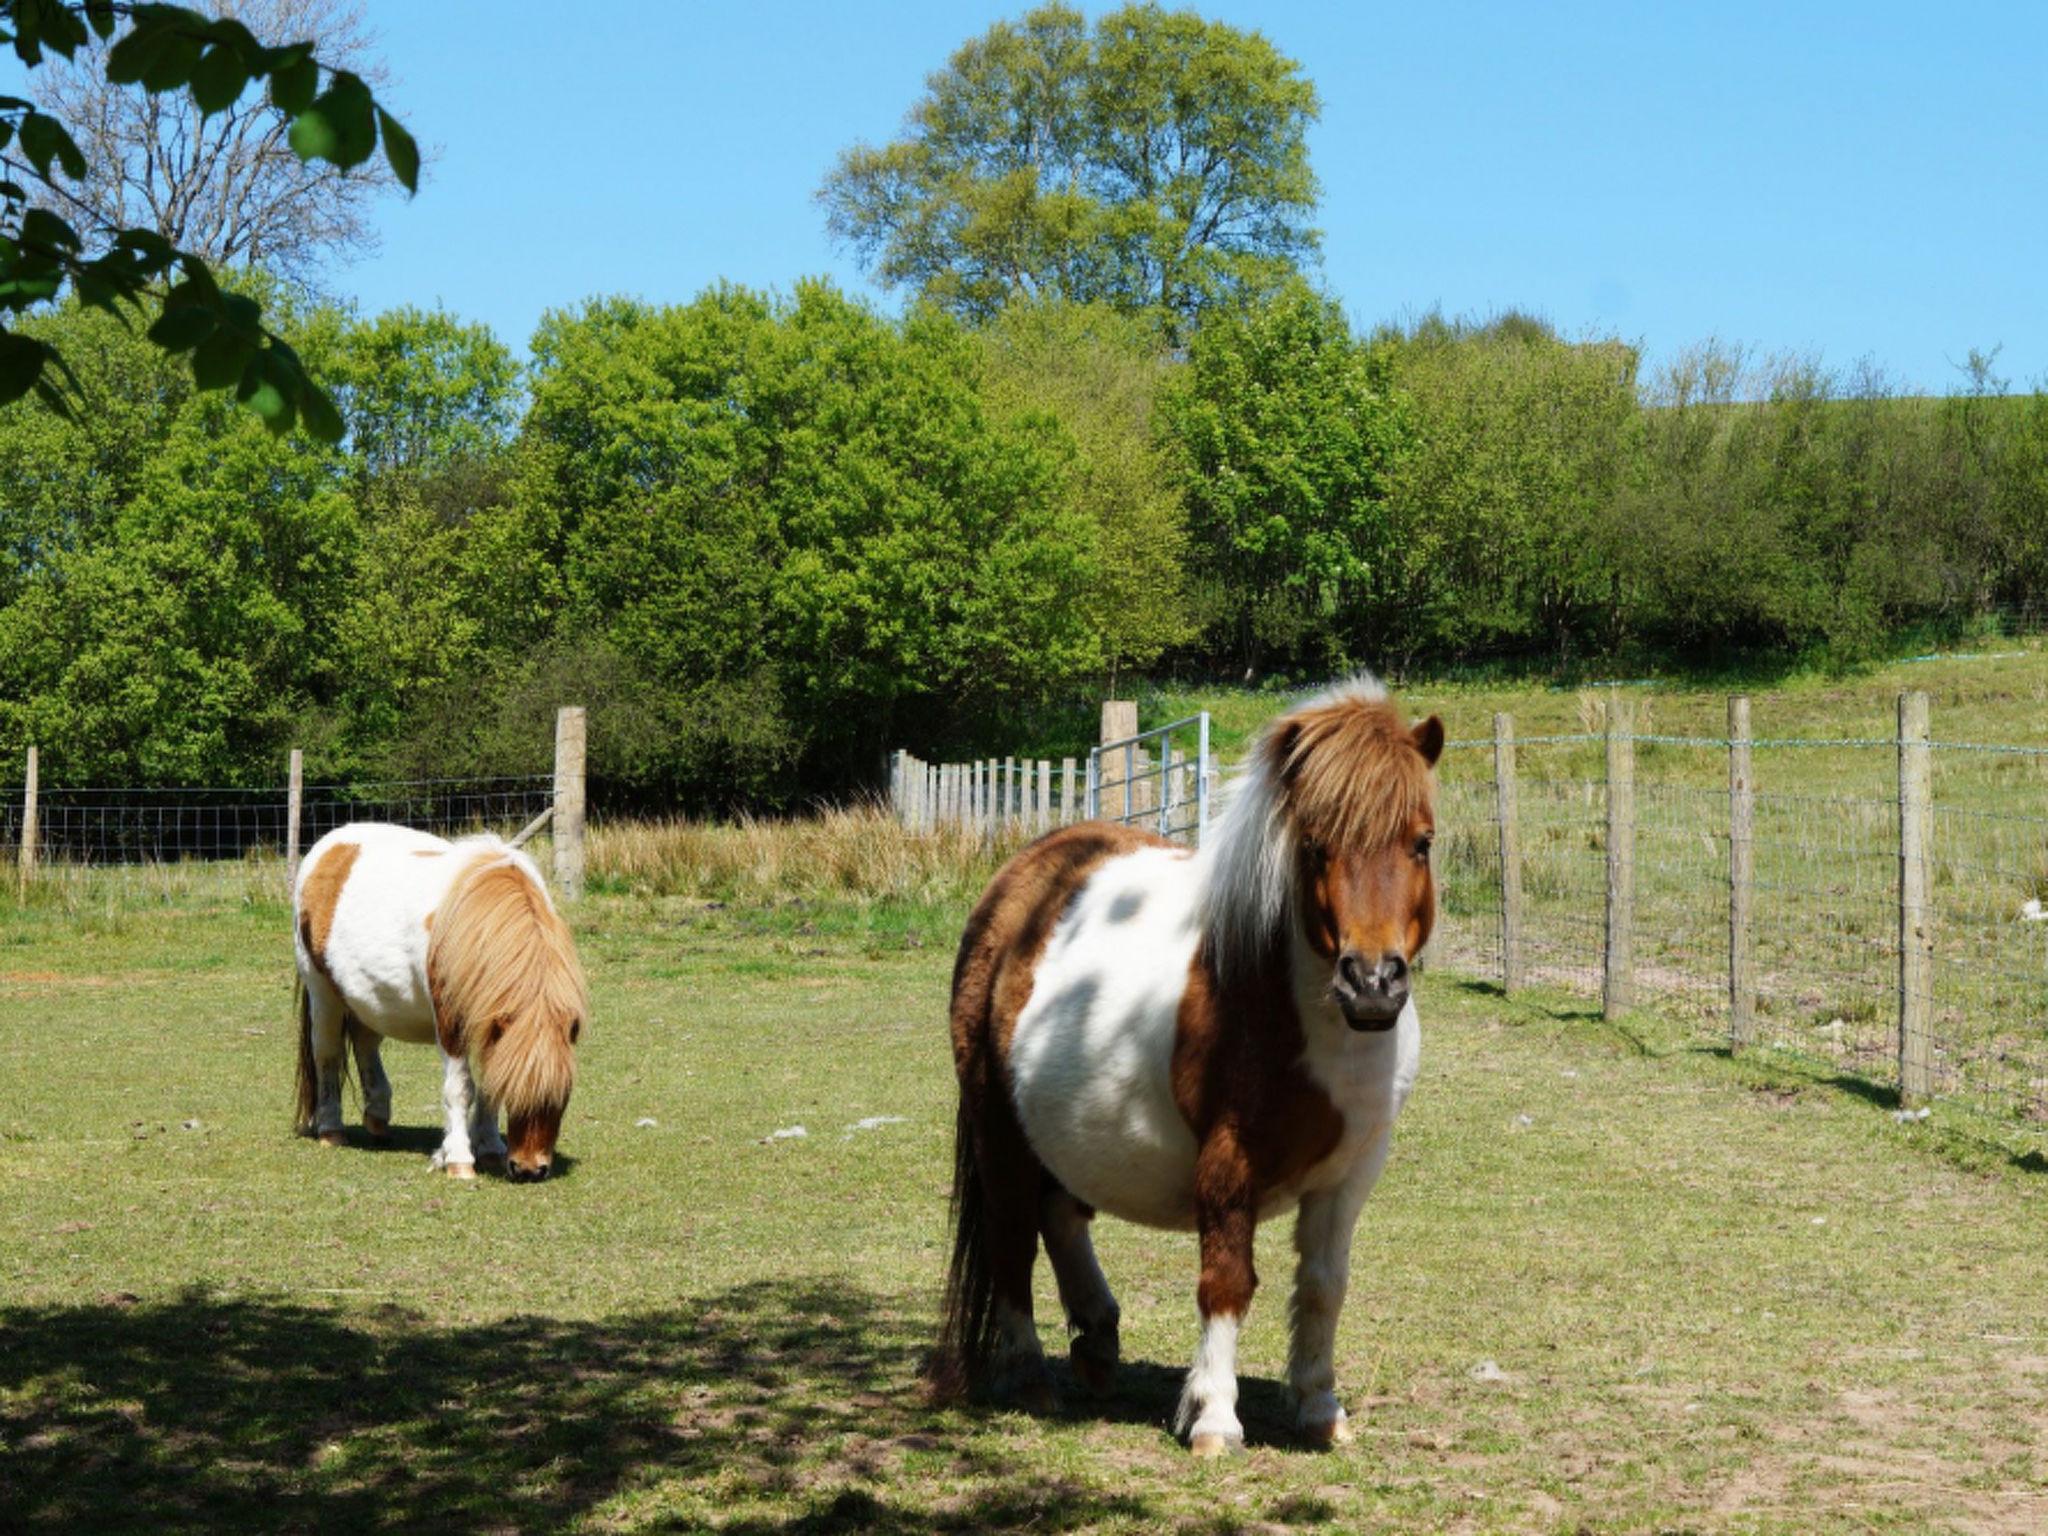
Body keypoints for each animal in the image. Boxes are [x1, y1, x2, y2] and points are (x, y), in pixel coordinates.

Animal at [284, 823, 585, 1187]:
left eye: (563, 1095)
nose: (529, 1169)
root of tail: (328, 846)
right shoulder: (450, 1022)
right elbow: (461, 1089)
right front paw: (459, 1160)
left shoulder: (491, 1023)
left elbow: (488, 1084)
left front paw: (490, 1147)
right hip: (323, 992)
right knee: (326, 1052)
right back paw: (331, 1129)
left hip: (365, 999)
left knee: (365, 1042)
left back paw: (378, 1117)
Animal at [937, 675, 1449, 1458]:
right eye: (1315, 846)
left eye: (1421, 842)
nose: (1373, 983)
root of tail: (1021, 879)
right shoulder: (1227, 1162)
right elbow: (1227, 1281)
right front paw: (1214, 1417)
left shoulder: (1350, 1175)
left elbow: (1324, 1285)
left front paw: (1320, 1408)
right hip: (999, 1127)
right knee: (1012, 1235)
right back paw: (1029, 1376)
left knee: (1061, 1212)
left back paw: (1098, 1337)